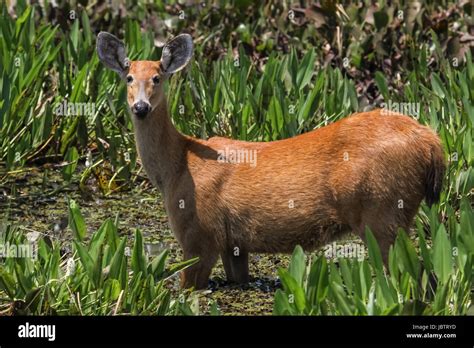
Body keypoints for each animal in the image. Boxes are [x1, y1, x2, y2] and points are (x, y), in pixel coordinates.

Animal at [96, 32, 444, 288]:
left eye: (158, 77)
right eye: (128, 77)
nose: (141, 107)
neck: (175, 168)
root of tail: (432, 142)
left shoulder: (199, 234)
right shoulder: (233, 244)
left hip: (382, 210)